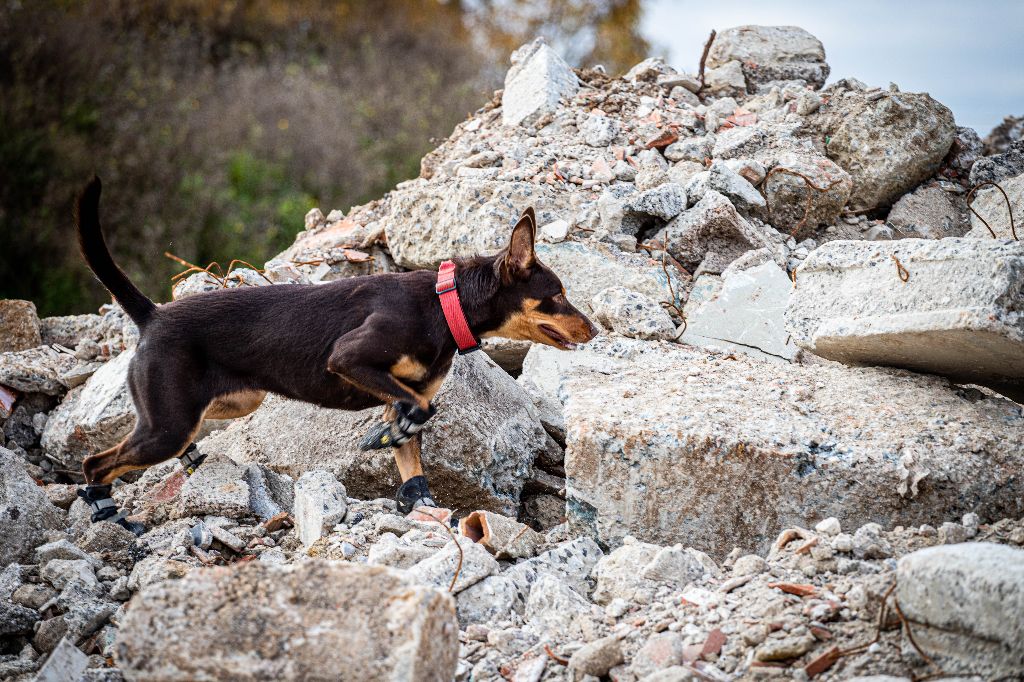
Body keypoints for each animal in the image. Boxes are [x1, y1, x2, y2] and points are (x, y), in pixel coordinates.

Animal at [75, 176, 598, 532]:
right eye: (557, 295)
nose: (594, 329)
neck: (442, 304)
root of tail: (153, 315)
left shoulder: (394, 396)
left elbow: (414, 461)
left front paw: (424, 507)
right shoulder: (349, 360)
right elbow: (421, 408)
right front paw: (390, 437)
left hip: (227, 403)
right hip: (168, 426)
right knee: (95, 463)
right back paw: (110, 515)